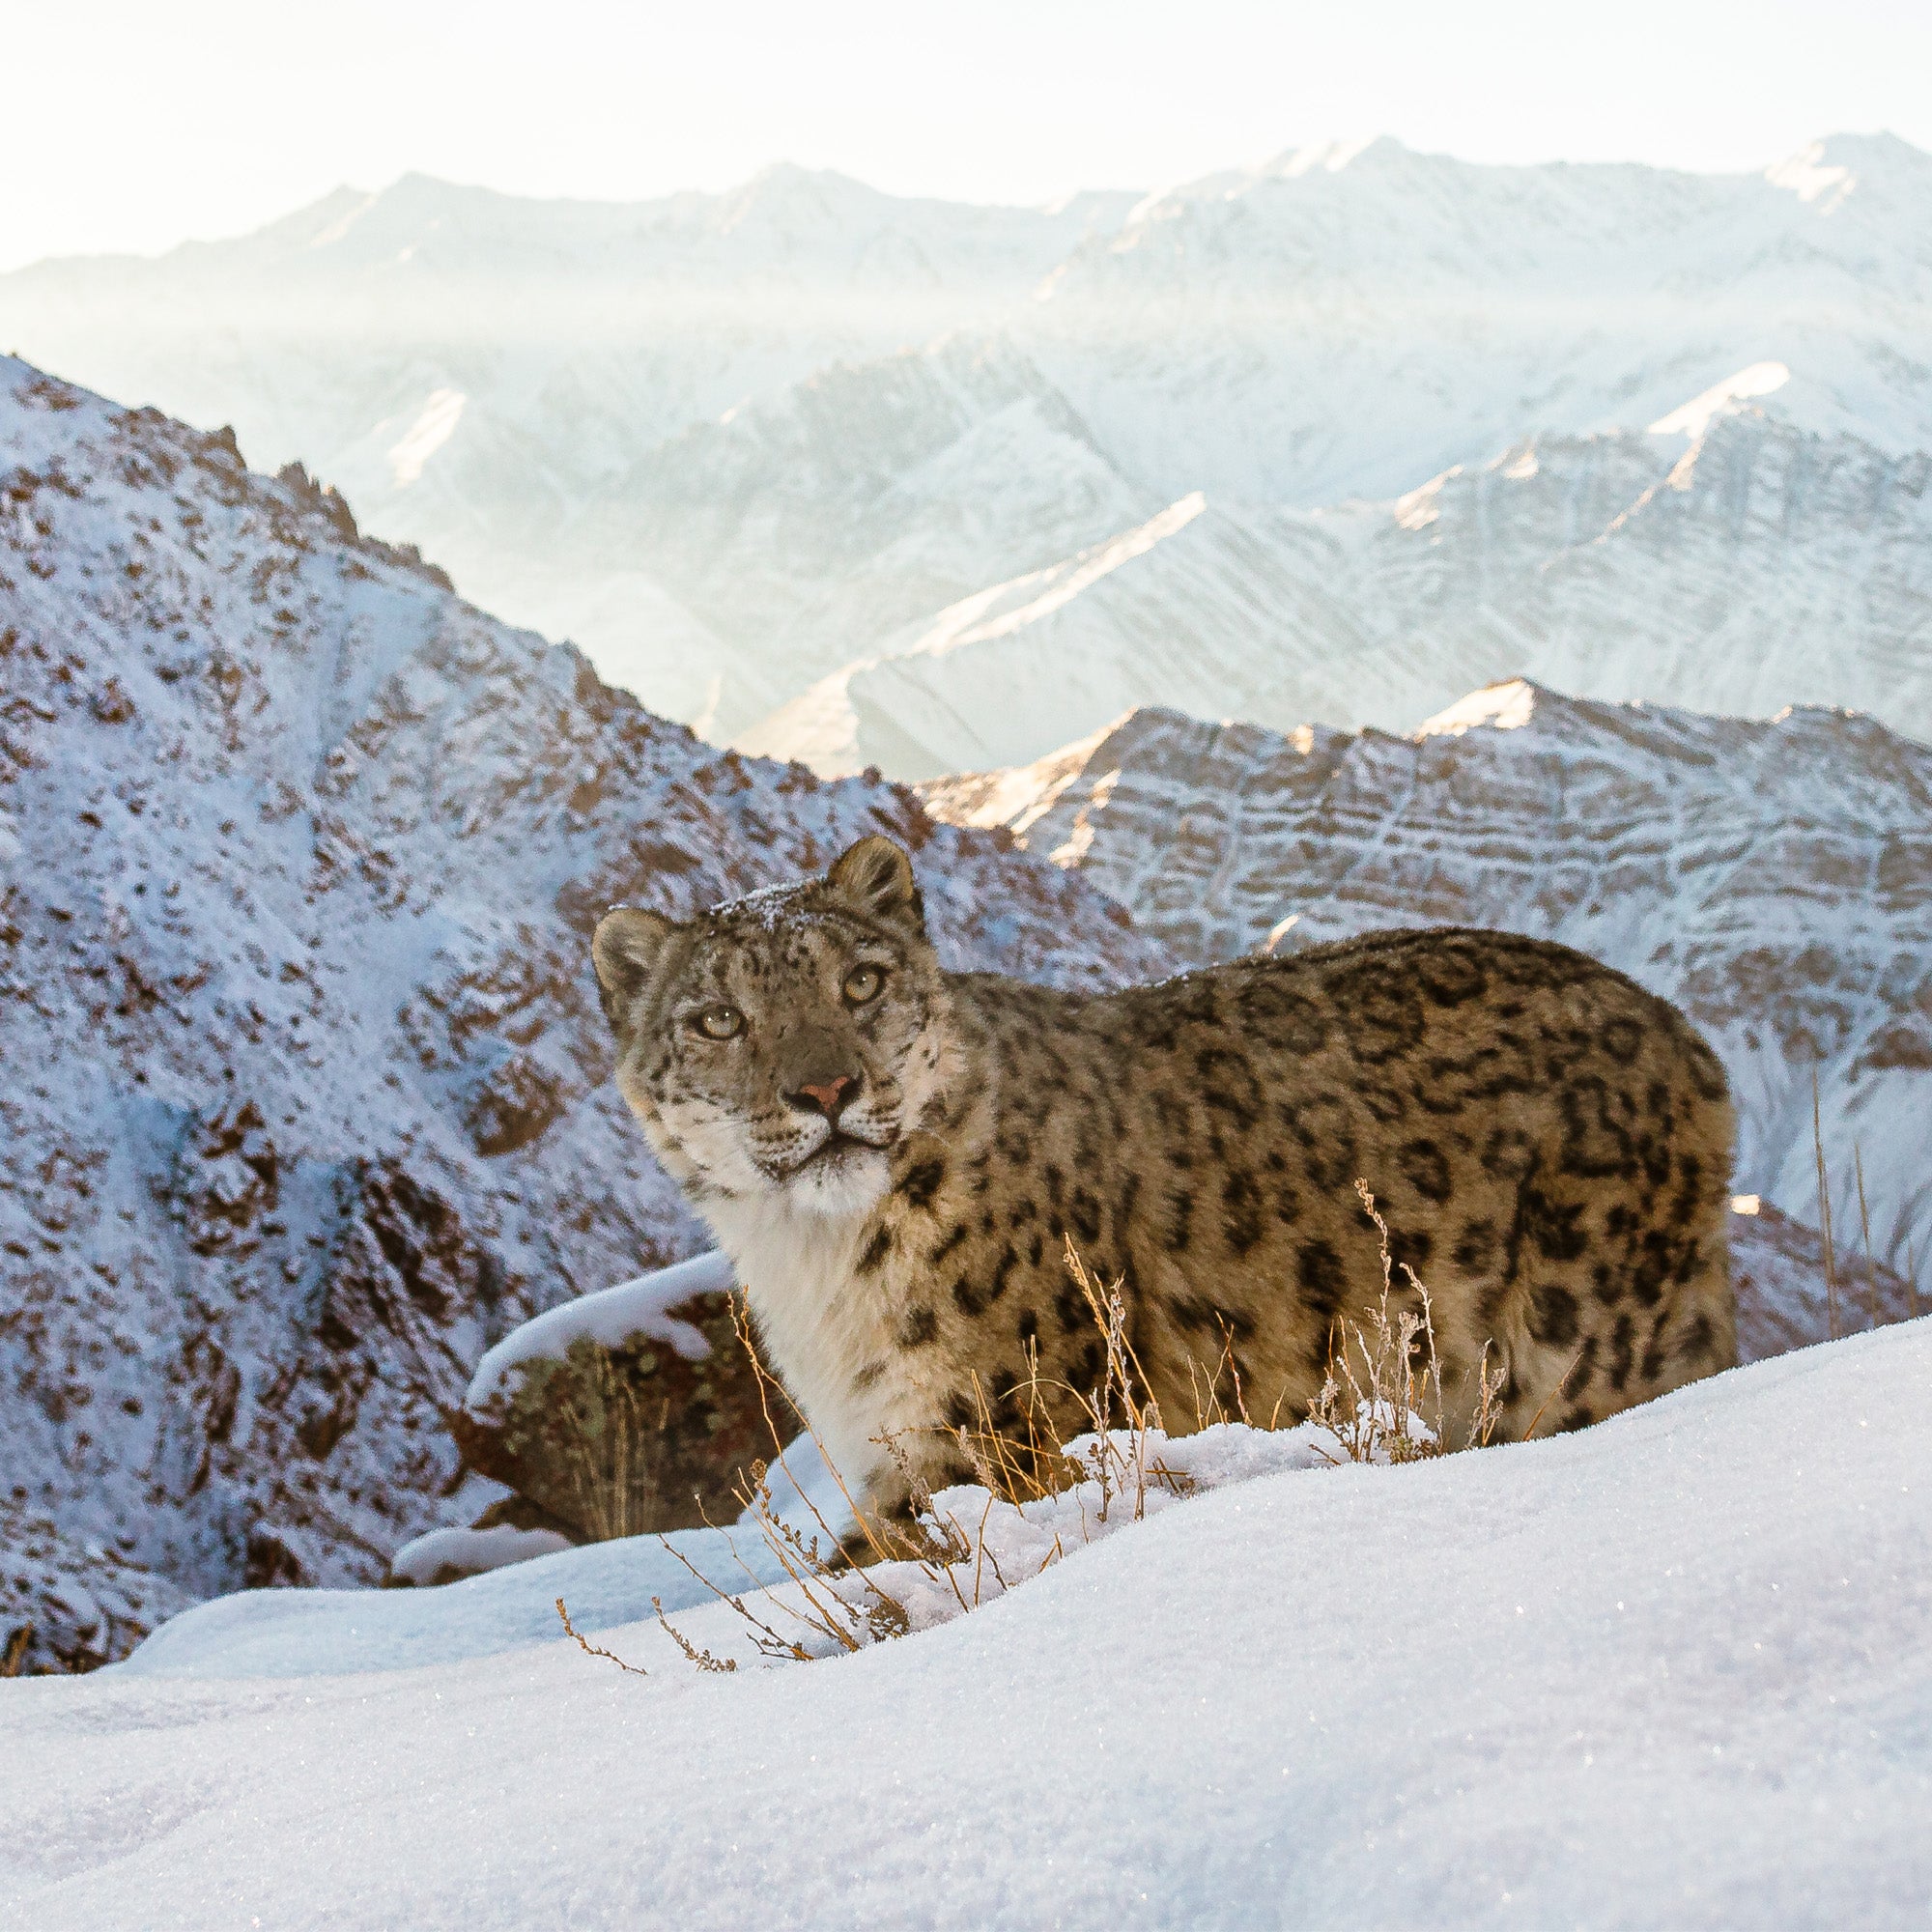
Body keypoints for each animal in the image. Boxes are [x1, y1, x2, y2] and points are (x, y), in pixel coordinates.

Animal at [587, 835, 1739, 1507]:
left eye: (861, 981)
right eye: (718, 1019)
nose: (825, 1087)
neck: (817, 1269)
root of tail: (1683, 1036)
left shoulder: (995, 1433)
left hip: (1581, 1352)